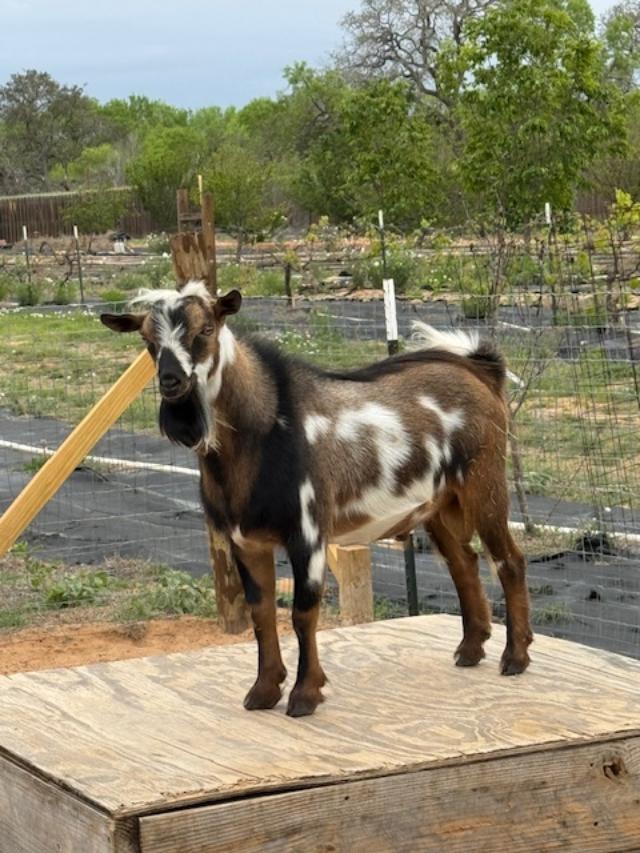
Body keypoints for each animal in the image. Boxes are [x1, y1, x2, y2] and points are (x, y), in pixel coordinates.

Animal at [101, 282, 533, 717]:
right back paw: (470, 649)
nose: (172, 382)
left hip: (484, 485)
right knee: (463, 562)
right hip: (437, 505)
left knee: (508, 561)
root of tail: (479, 370)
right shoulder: (244, 540)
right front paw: (263, 690)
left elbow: (303, 612)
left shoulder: (307, 532)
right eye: (147, 340)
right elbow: (261, 612)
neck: (265, 428)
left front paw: (304, 694)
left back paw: (514, 657)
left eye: (205, 329)